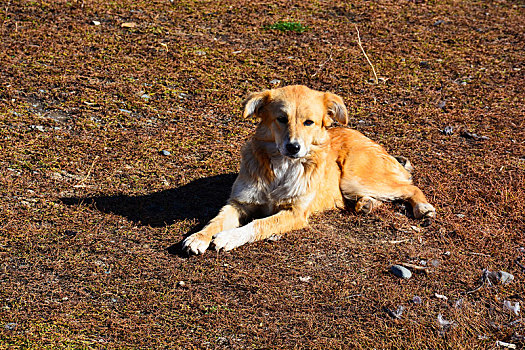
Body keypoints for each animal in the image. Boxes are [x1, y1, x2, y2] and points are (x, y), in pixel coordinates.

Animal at [180, 85, 434, 254]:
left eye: (309, 122)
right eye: (281, 118)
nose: (293, 147)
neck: (282, 168)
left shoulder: (295, 213)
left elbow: (259, 224)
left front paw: (230, 237)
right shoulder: (239, 203)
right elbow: (215, 220)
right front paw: (199, 236)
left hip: (353, 179)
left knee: (410, 187)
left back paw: (422, 207)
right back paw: (366, 204)